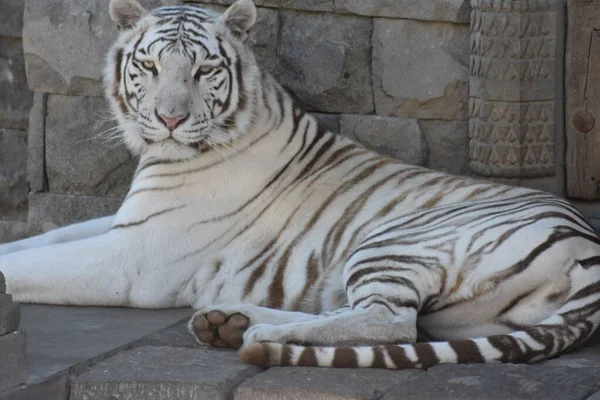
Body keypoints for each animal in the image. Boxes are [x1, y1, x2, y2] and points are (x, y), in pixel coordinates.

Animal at [1, 0, 600, 368]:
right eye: (148, 67)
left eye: (202, 71)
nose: (169, 119)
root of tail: (586, 247)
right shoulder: (124, 222)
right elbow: (36, 241)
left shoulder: (133, 257)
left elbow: (28, 265)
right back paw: (228, 321)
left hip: (394, 242)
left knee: (392, 323)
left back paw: (257, 334)